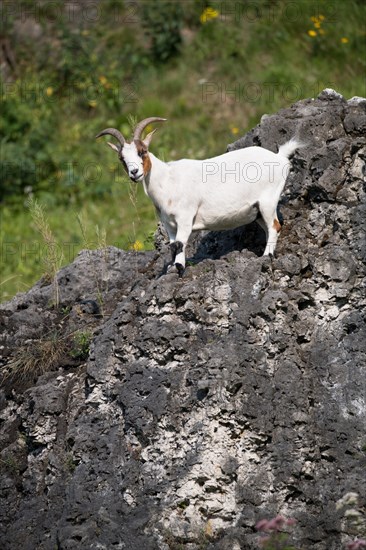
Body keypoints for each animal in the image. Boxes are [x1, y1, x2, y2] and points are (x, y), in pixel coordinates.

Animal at [96, 119, 300, 278]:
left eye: (143, 151)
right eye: (122, 158)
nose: (134, 172)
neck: (168, 181)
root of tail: (280, 157)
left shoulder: (185, 217)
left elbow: (180, 244)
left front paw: (180, 268)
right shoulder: (169, 224)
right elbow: (173, 245)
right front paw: (172, 269)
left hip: (268, 201)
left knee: (275, 226)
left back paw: (267, 256)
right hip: (256, 210)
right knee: (269, 228)